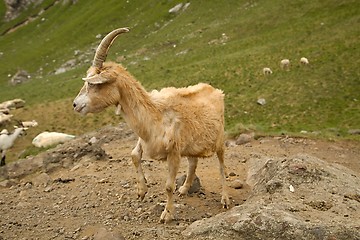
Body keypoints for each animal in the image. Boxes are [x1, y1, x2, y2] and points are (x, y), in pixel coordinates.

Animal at [72, 27, 231, 223]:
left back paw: (225, 200)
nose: (75, 104)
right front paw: (141, 191)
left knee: (222, 167)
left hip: (219, 140)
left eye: (93, 83)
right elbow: (134, 155)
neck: (155, 113)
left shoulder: (174, 153)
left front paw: (167, 214)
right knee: (193, 162)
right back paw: (184, 189)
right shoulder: (145, 139)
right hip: (191, 145)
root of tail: (216, 90)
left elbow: (168, 186)